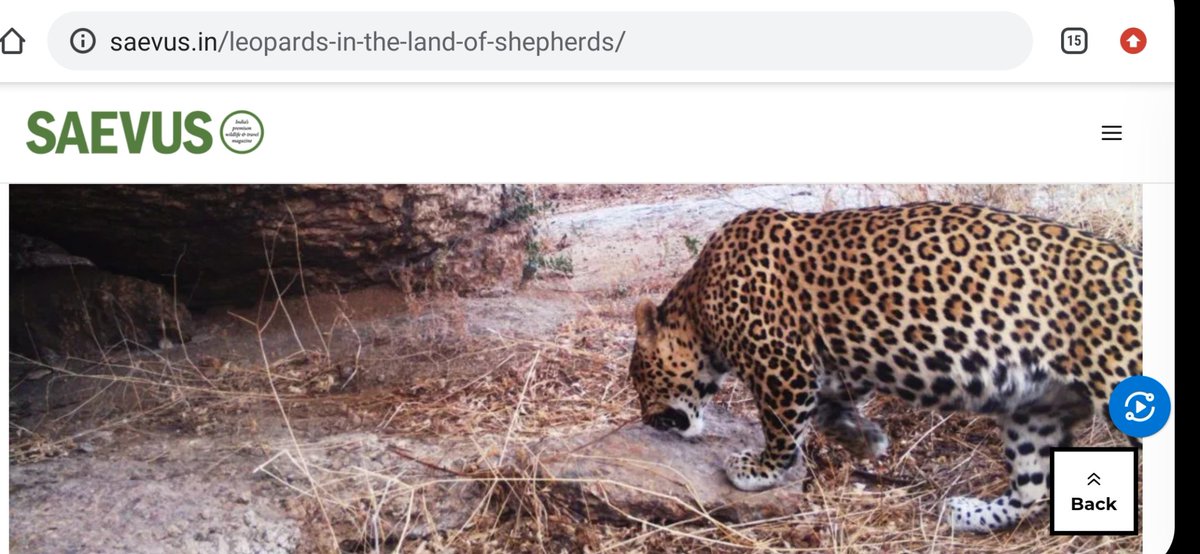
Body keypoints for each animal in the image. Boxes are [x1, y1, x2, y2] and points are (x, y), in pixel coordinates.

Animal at [627, 202, 1142, 532]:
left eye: (639, 379)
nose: (646, 420)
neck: (697, 305)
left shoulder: (781, 365)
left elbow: (781, 427)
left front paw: (758, 470)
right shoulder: (831, 368)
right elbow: (828, 412)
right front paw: (867, 441)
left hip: (1121, 375)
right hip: (1033, 411)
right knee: (1036, 490)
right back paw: (970, 514)